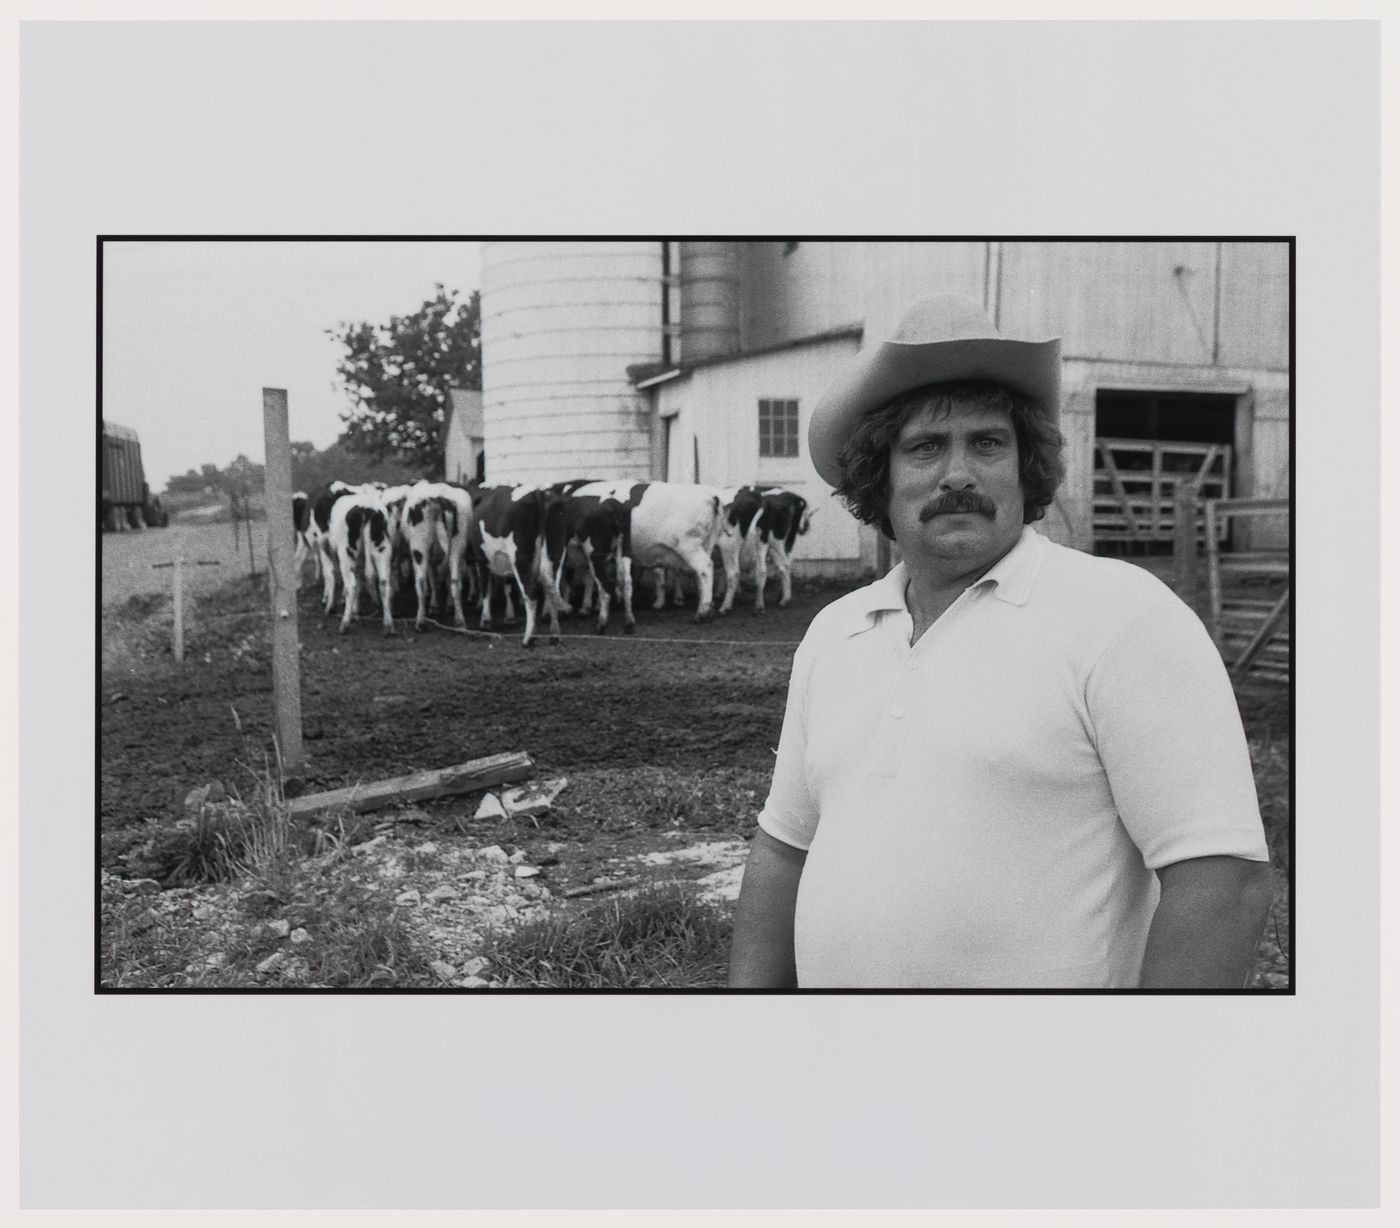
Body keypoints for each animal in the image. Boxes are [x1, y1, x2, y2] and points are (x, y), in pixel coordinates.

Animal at [473, 481, 565, 652]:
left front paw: (485, 621)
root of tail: (538, 493)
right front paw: (509, 617)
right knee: (553, 591)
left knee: (531, 595)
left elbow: (486, 588)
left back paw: (528, 639)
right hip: (556, 553)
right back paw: (555, 636)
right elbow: (508, 586)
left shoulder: (481, 557)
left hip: (520, 556)